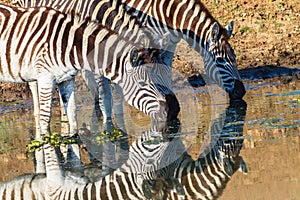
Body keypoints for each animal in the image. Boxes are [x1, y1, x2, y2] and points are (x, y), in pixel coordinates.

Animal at [0, 3, 176, 173]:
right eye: (142, 83)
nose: (169, 111)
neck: (69, 45)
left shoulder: (67, 79)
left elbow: (73, 112)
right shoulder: (46, 78)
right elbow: (47, 117)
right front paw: (47, 144)